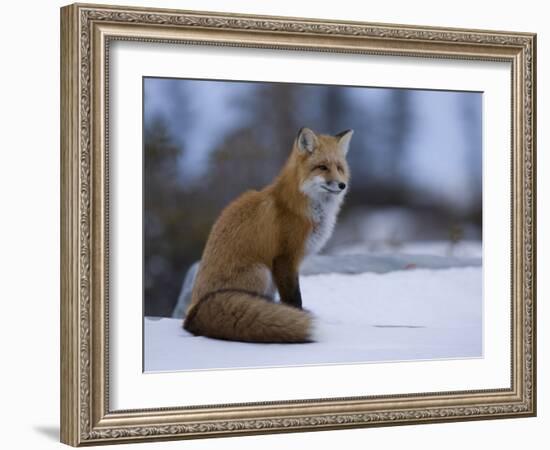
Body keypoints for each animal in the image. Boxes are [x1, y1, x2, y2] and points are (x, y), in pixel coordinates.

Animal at [184, 128, 354, 342]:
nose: (342, 185)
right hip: (262, 272)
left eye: (339, 168)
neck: (298, 206)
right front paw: (296, 317)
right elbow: (293, 298)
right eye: (322, 167)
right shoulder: (285, 258)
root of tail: (192, 313)